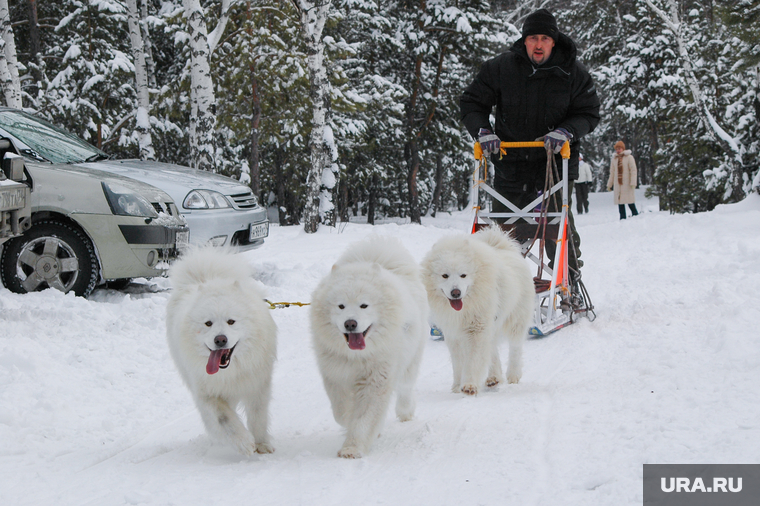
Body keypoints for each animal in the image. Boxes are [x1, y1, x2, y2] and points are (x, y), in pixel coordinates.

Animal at [165, 247, 278, 456]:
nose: (220, 339)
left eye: (231, 321)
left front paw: (261, 444)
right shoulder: (207, 392)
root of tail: (208, 276)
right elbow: (223, 419)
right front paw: (243, 442)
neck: (232, 371)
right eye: (208, 323)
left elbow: (258, 417)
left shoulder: (258, 385)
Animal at [308, 236, 428, 458]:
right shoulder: (335, 375)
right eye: (341, 306)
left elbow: (364, 417)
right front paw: (350, 424)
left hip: (410, 360)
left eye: (364, 305)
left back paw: (406, 412)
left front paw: (352, 449)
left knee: (405, 388)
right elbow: (341, 412)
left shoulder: (377, 379)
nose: (350, 323)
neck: (356, 357)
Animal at [422, 225, 536, 396]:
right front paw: (457, 386)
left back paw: (513, 375)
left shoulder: (476, 329)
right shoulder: (454, 333)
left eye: (463, 275)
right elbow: (458, 362)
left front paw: (469, 385)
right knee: (493, 349)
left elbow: (473, 360)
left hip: (516, 318)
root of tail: (503, 246)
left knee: (515, 348)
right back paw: (493, 378)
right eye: (445, 275)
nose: (456, 293)